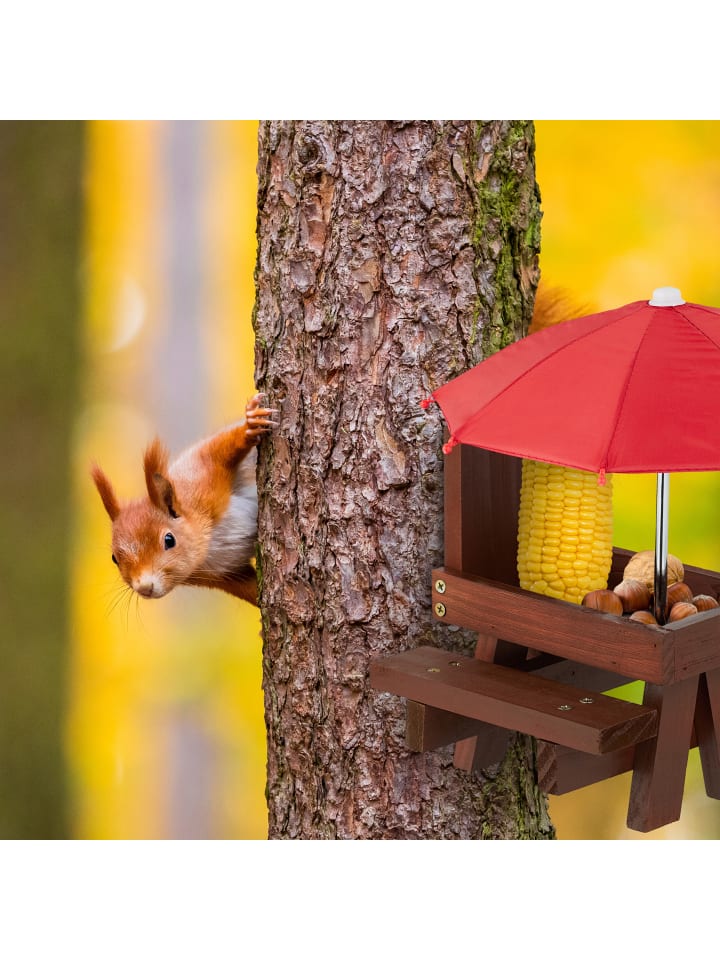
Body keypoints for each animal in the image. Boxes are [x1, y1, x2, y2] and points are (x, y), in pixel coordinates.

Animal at [91, 393, 277, 606]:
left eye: (169, 540)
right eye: (114, 558)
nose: (145, 587)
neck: (206, 547)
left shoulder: (201, 476)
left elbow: (220, 449)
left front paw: (250, 425)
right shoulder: (226, 575)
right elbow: (251, 588)